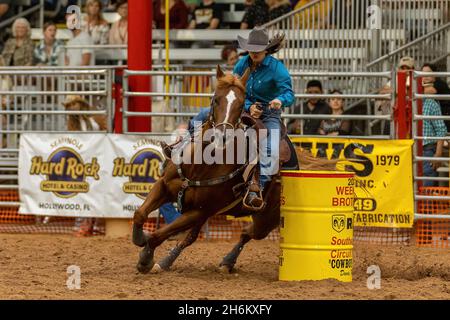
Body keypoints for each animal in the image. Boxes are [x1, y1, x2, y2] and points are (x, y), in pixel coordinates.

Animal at [132, 65, 288, 276]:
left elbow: (158, 234)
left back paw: (227, 261)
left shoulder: (200, 211)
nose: (221, 136)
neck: (200, 166)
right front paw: (139, 238)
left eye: (241, 104)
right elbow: (140, 213)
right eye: (215, 99)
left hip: (267, 218)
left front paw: (145, 259)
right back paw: (168, 262)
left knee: (247, 233)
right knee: (194, 238)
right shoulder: (164, 186)